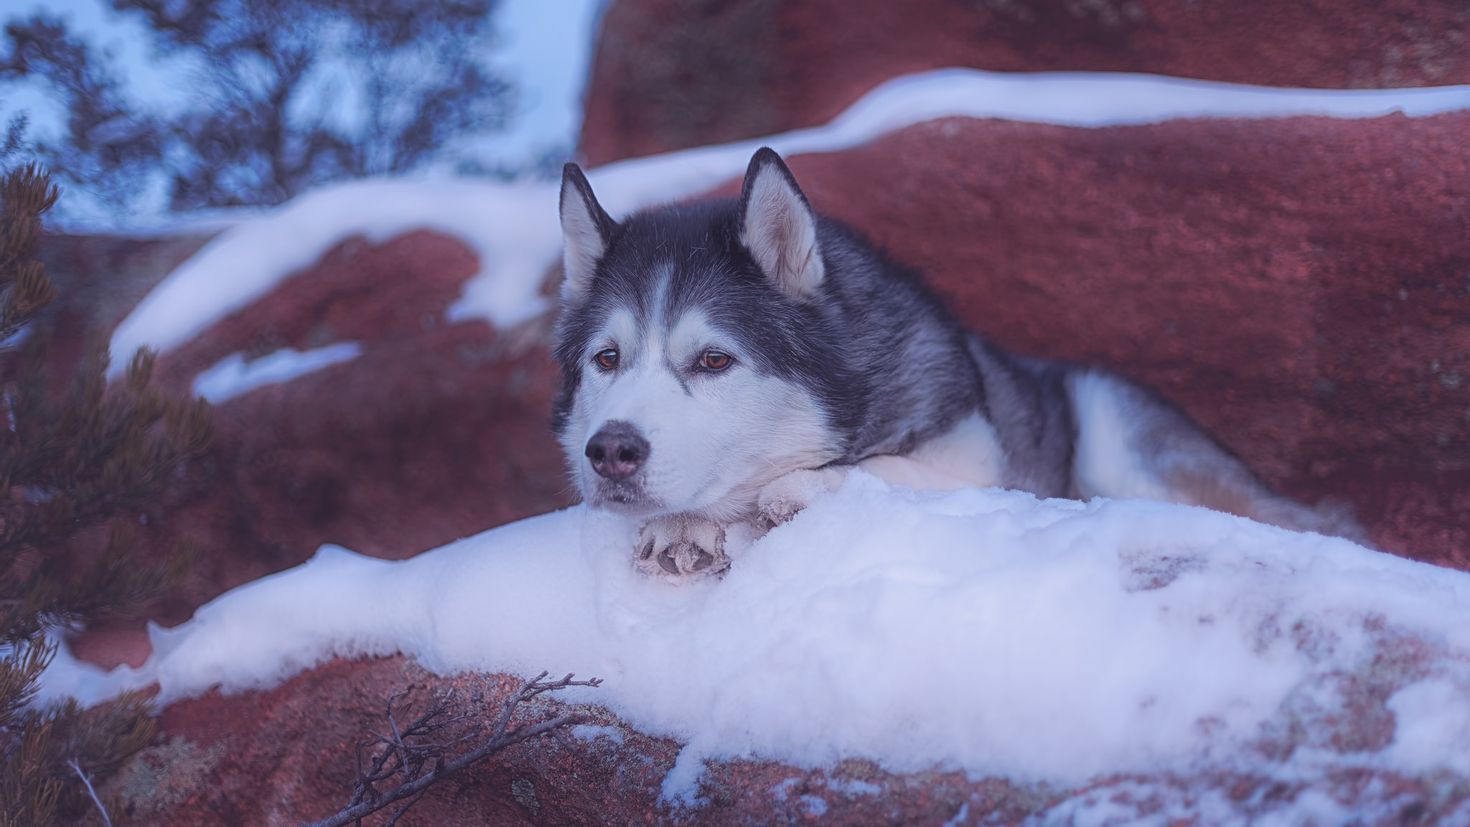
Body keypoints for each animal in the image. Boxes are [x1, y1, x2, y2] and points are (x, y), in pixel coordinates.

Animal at [549, 146, 1352, 575]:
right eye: (607, 359)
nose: (611, 451)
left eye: (714, 360)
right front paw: (681, 525)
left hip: (1117, 437)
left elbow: (878, 468)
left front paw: (799, 487)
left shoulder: (979, 465)